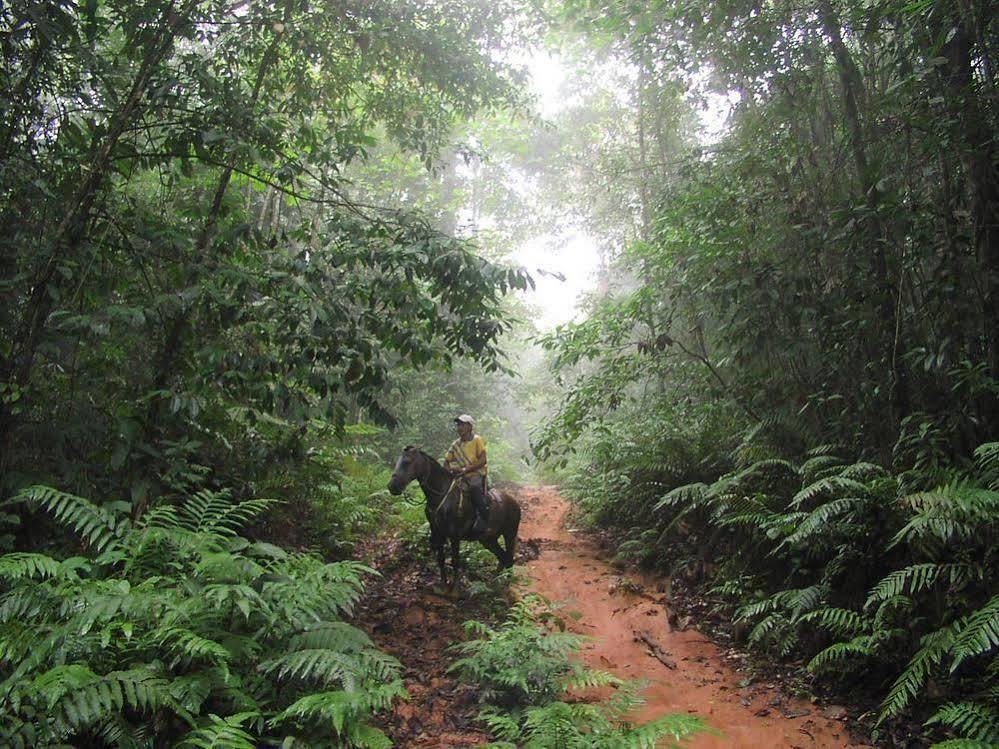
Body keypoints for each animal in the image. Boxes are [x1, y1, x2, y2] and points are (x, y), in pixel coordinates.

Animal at [386, 444, 520, 584]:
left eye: (407, 462)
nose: (392, 487)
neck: (441, 495)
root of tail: (515, 502)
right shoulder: (437, 533)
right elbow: (441, 560)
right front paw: (443, 584)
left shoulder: (455, 535)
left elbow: (455, 562)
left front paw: (455, 587)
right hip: (488, 539)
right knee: (503, 557)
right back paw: (493, 582)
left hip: (509, 534)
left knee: (509, 558)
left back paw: (505, 582)